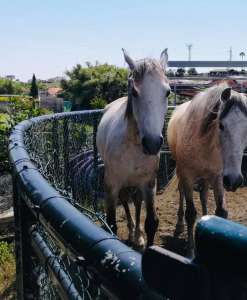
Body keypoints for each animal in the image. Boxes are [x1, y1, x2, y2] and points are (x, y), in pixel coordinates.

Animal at [96, 49, 170, 248]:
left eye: (167, 92)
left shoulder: (149, 184)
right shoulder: (111, 184)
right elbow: (111, 223)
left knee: (136, 203)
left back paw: (137, 235)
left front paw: (143, 237)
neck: (132, 146)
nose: (152, 143)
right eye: (134, 92)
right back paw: (131, 231)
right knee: (125, 200)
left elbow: (151, 222)